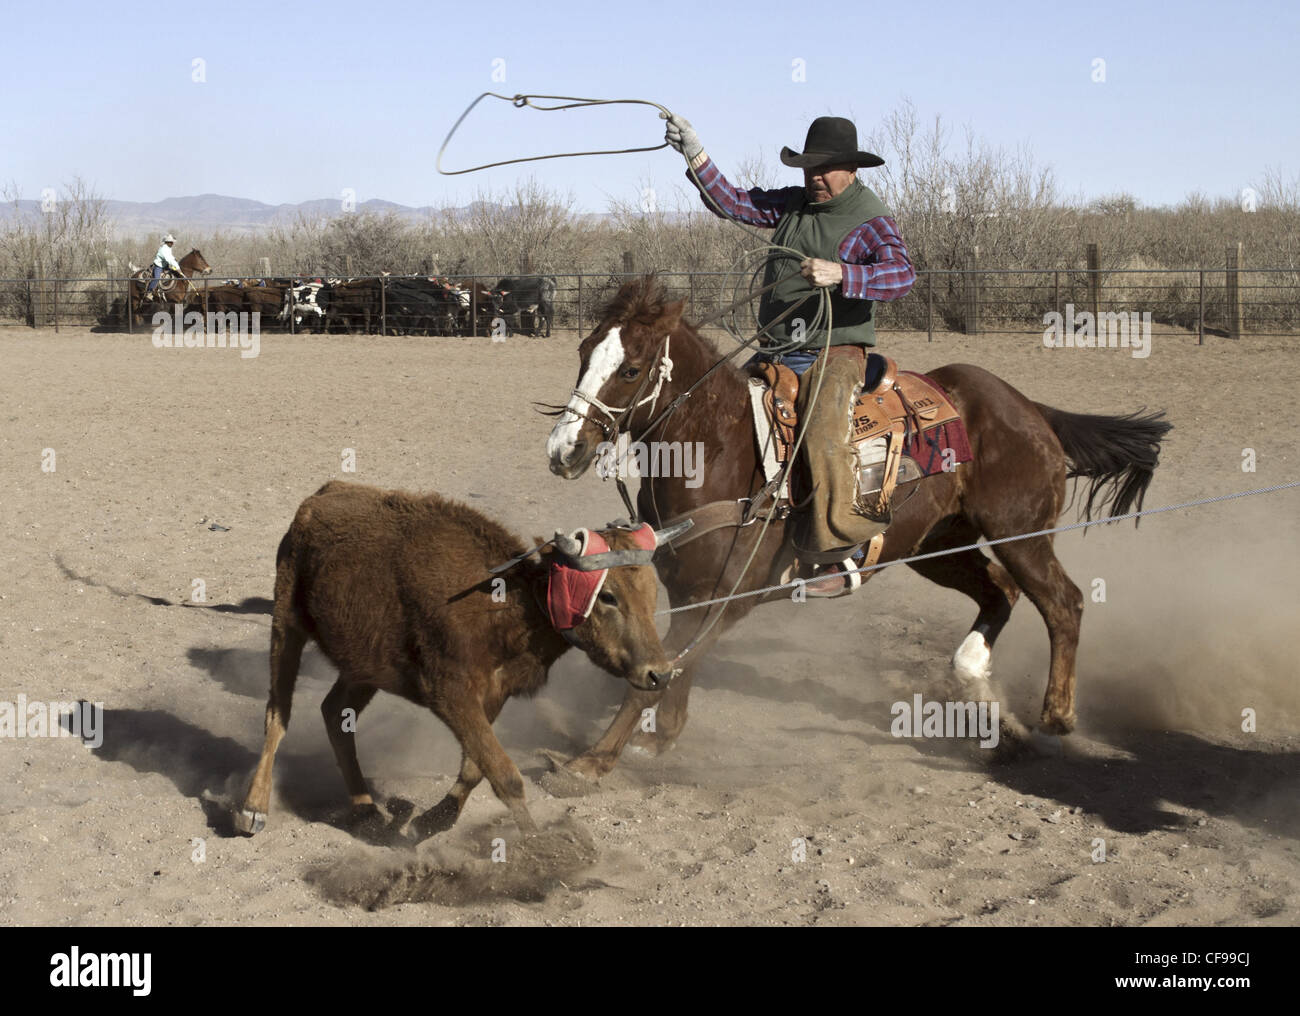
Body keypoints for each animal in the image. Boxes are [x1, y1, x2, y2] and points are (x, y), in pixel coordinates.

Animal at [543, 276, 1175, 779]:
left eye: (630, 369)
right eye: (582, 351)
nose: (562, 450)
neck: (724, 449)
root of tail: (1030, 410)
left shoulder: (726, 594)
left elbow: (656, 672)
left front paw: (590, 762)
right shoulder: (694, 594)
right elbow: (674, 665)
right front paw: (661, 739)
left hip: (1021, 535)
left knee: (1063, 602)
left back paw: (1056, 715)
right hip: (936, 545)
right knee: (1001, 592)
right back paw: (984, 698)